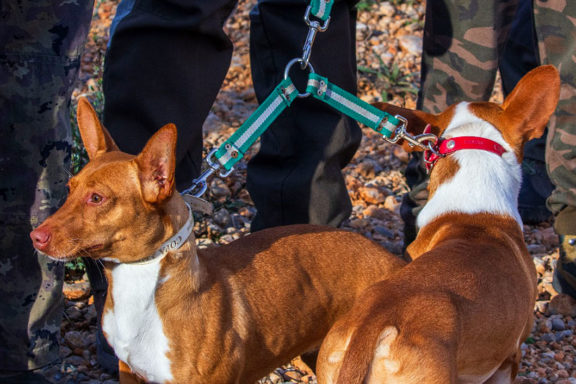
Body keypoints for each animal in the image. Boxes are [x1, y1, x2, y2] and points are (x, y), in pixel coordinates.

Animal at [30, 97, 404, 382]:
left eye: (97, 199)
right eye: (70, 189)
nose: (36, 236)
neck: (141, 285)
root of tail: (395, 263)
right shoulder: (130, 374)